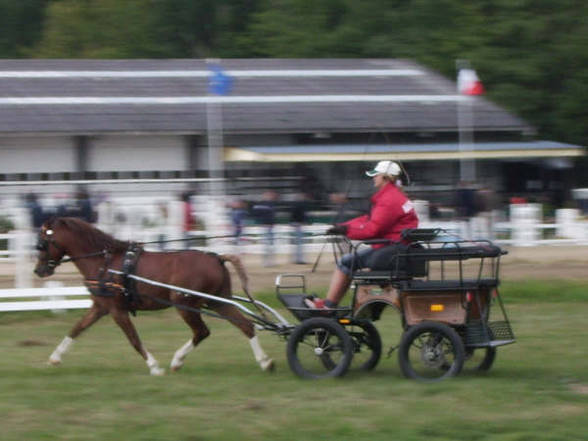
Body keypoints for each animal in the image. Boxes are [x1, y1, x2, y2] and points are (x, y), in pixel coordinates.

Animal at [35, 217, 276, 374]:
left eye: (43, 243)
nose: (38, 270)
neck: (105, 263)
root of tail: (216, 257)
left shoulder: (117, 310)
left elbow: (134, 339)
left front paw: (154, 366)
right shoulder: (100, 307)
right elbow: (76, 329)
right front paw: (55, 357)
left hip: (185, 304)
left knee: (202, 332)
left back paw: (177, 360)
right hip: (217, 302)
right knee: (246, 325)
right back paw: (265, 361)